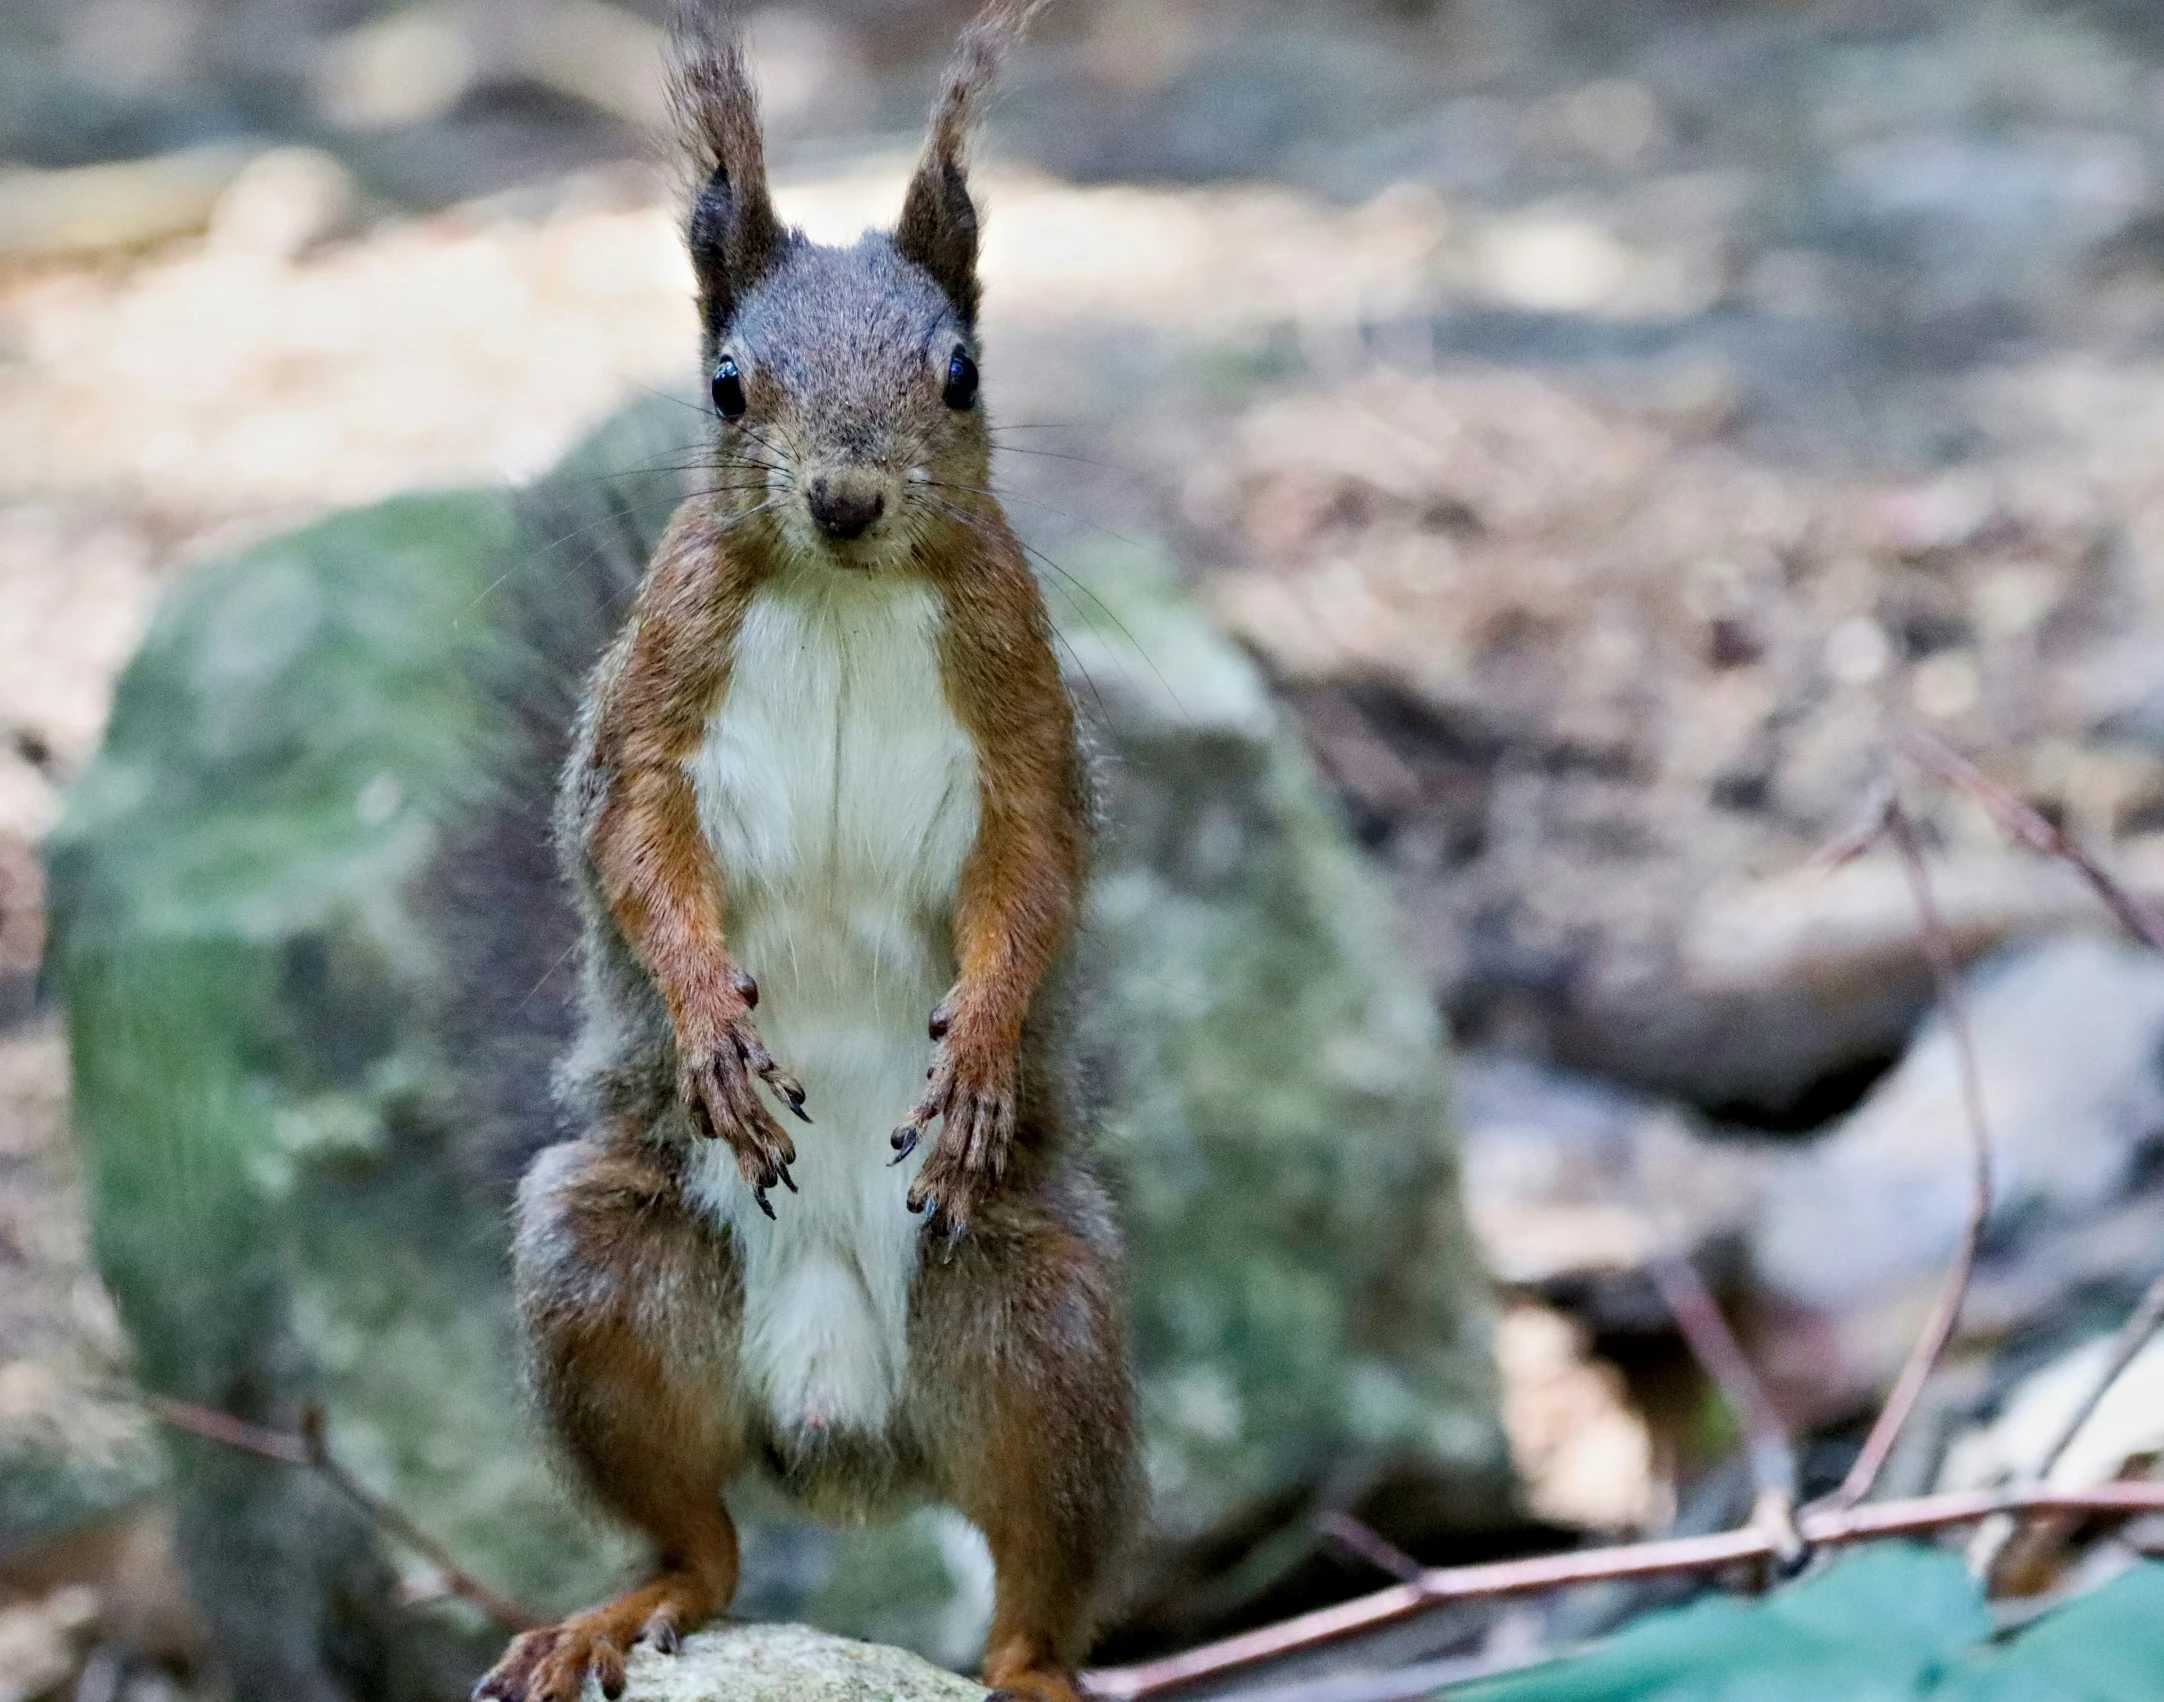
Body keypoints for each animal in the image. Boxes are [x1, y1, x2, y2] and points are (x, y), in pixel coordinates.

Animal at [469, 10, 1151, 1702]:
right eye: (725, 383)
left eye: (962, 372)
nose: (845, 495)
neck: (841, 593)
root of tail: (843, 1425)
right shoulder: (652, 703)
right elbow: (634, 844)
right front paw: (711, 1017)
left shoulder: (1022, 719)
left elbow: (1033, 872)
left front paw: (978, 1046)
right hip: (604, 1274)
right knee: (697, 1538)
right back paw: (618, 1610)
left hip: (1038, 1314)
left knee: (1040, 1569)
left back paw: (1033, 1667)